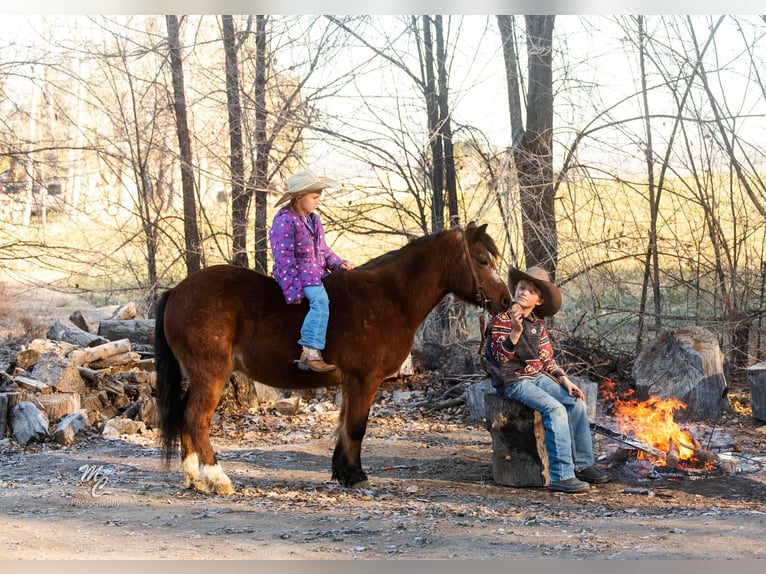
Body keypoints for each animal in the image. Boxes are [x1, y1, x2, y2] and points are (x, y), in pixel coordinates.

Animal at [154, 220, 510, 496]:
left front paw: (344, 473)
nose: (505, 301)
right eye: (482, 260)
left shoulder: (351, 382)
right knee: (197, 419)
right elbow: (357, 427)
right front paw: (356, 476)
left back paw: (194, 478)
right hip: (211, 375)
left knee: (185, 417)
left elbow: (345, 427)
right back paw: (217, 478)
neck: (390, 298)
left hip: (197, 376)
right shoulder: (366, 380)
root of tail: (176, 291)